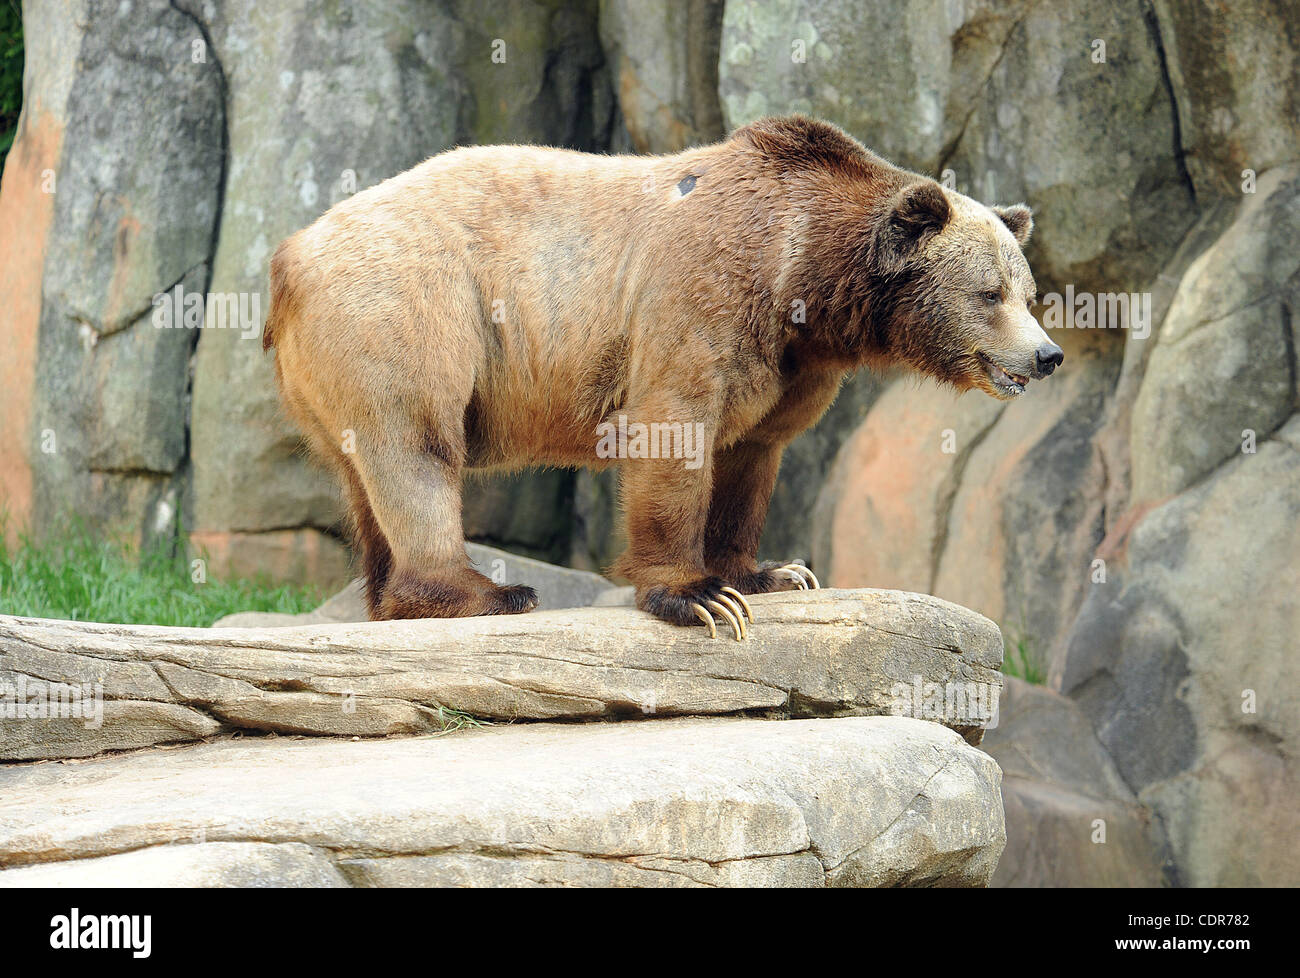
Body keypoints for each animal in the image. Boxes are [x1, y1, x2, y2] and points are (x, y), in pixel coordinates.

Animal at [262, 115, 1062, 639]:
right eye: (989, 293)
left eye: (1028, 292)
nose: (1047, 356)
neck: (807, 278)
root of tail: (290, 255)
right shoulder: (701, 294)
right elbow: (674, 430)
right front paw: (698, 597)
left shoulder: (790, 365)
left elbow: (751, 456)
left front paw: (771, 573)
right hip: (409, 310)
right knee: (415, 447)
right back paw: (483, 590)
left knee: (365, 476)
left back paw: (389, 598)